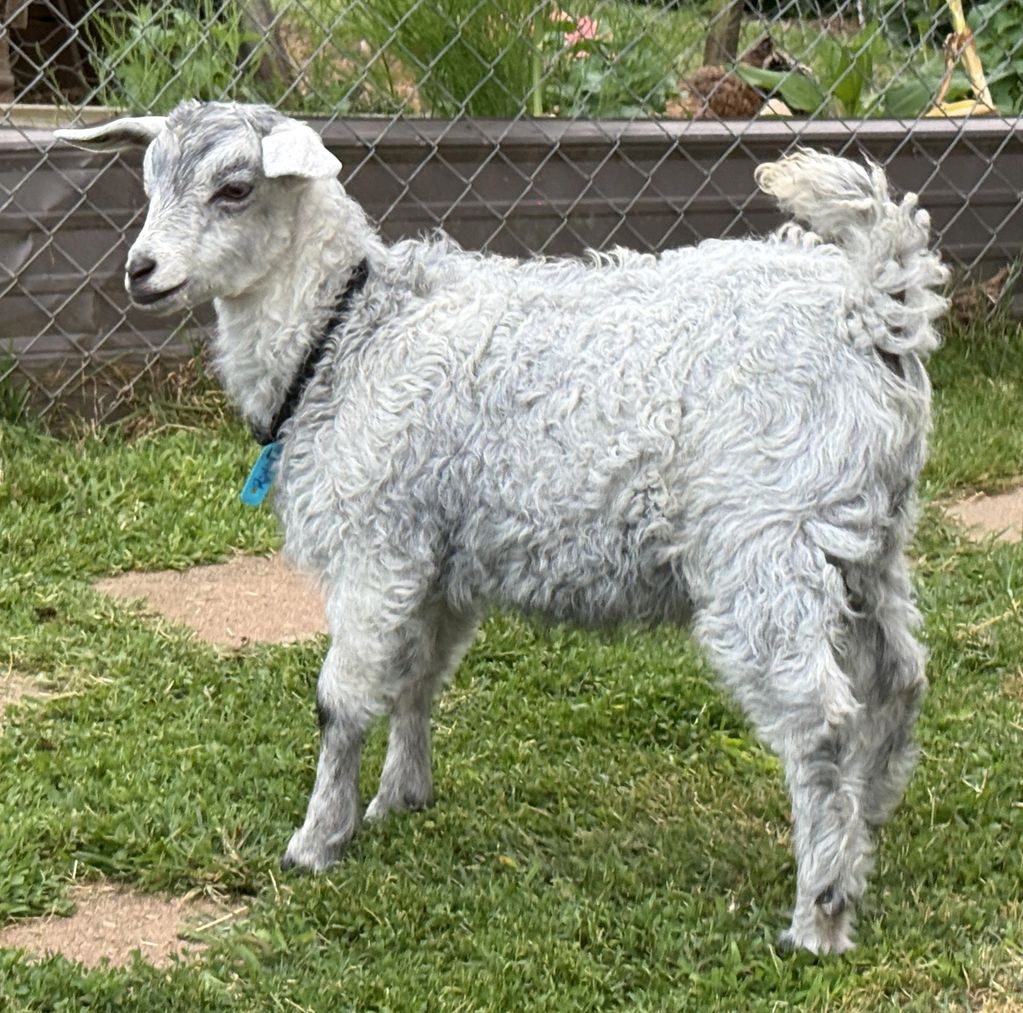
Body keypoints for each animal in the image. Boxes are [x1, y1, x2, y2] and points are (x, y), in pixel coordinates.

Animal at [57, 101, 947, 954]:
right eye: (148, 181)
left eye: (234, 188)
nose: (141, 271)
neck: (348, 333)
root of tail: (867, 305)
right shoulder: (435, 557)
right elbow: (416, 678)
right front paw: (399, 798)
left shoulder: (374, 542)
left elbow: (340, 699)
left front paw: (316, 840)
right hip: (865, 536)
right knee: (896, 678)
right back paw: (866, 823)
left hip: (764, 537)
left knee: (818, 720)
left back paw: (818, 916)